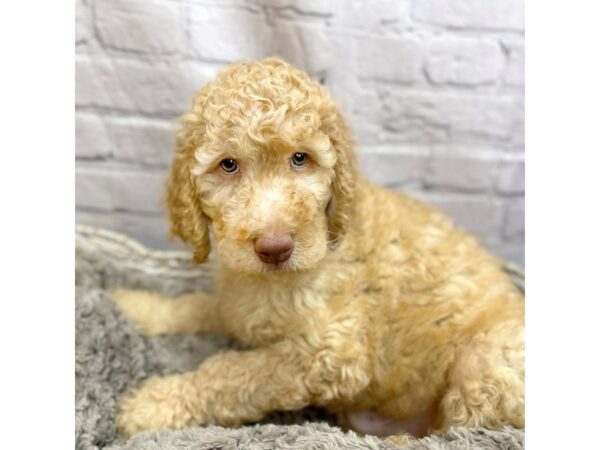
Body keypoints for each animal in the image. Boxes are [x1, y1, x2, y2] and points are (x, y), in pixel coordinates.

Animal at [111, 57, 520, 442]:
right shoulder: (238, 304)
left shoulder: (330, 354)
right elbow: (197, 305)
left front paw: (154, 404)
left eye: (300, 158)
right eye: (228, 165)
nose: (275, 248)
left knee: (463, 429)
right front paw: (141, 305)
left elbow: (236, 373)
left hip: (483, 362)